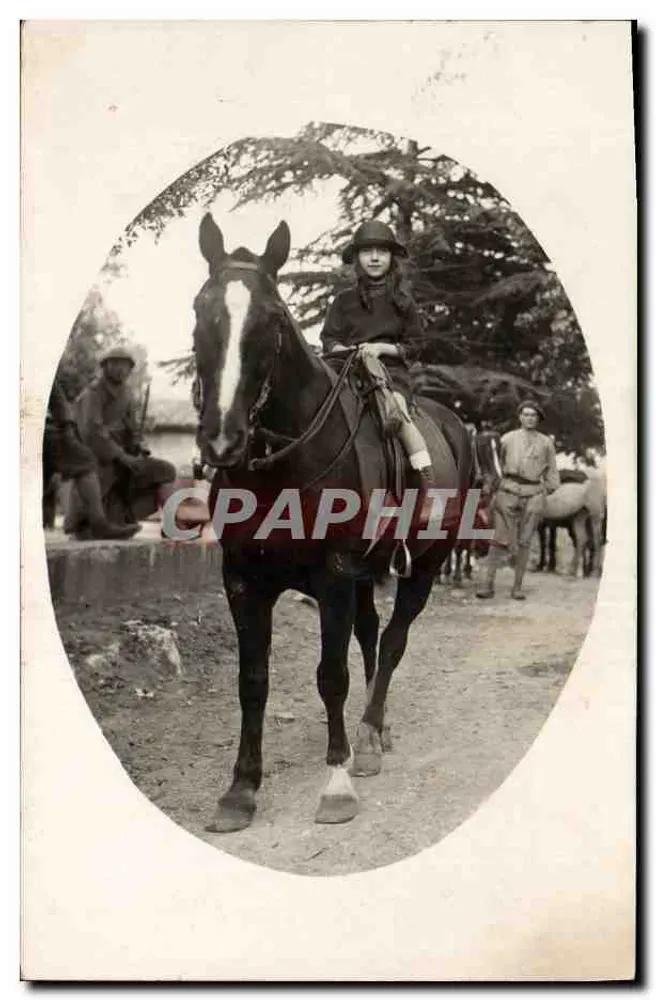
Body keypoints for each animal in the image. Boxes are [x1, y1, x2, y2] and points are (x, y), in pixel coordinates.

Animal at [191, 213, 472, 832]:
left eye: (273, 318)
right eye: (200, 308)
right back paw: (376, 729)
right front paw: (240, 790)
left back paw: (366, 736)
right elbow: (253, 681)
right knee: (371, 633)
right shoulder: (244, 581)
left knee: (392, 641)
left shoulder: (335, 576)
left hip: (425, 568)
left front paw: (338, 781)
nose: (222, 440)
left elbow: (331, 675)